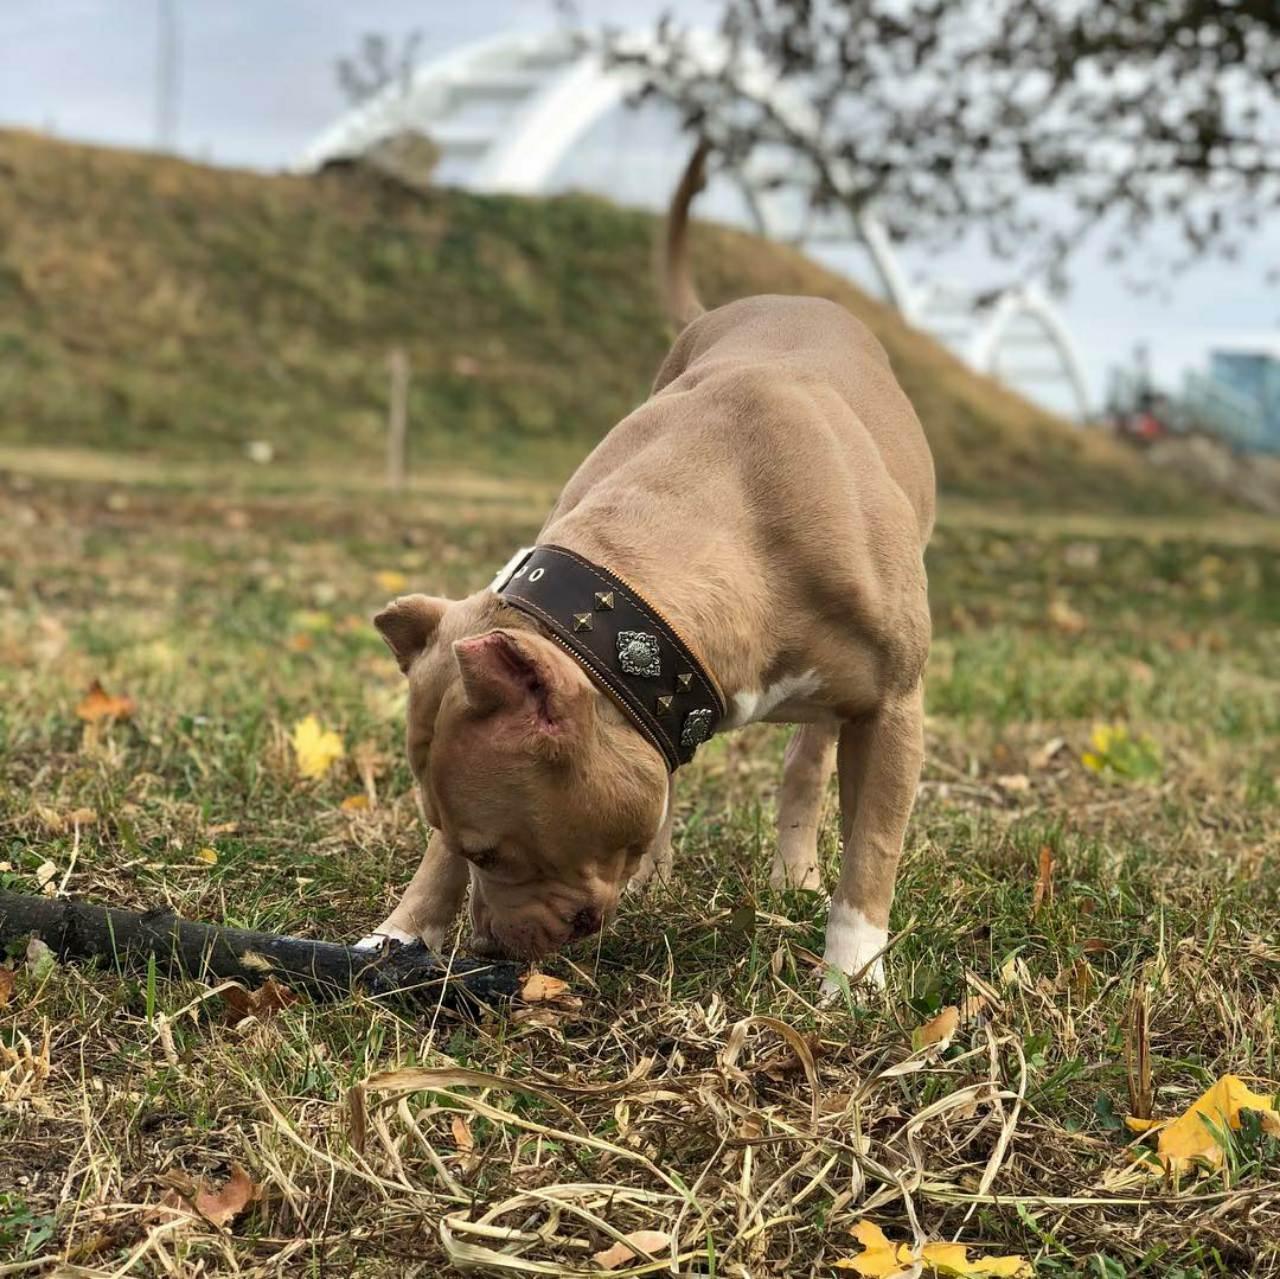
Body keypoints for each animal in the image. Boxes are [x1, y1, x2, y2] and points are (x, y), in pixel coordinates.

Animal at [360, 145, 931, 993]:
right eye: (460, 843)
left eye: (492, 850)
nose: (488, 946)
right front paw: (400, 930)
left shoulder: (894, 709)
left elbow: (872, 849)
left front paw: (853, 979)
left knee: (807, 761)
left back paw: (795, 875)